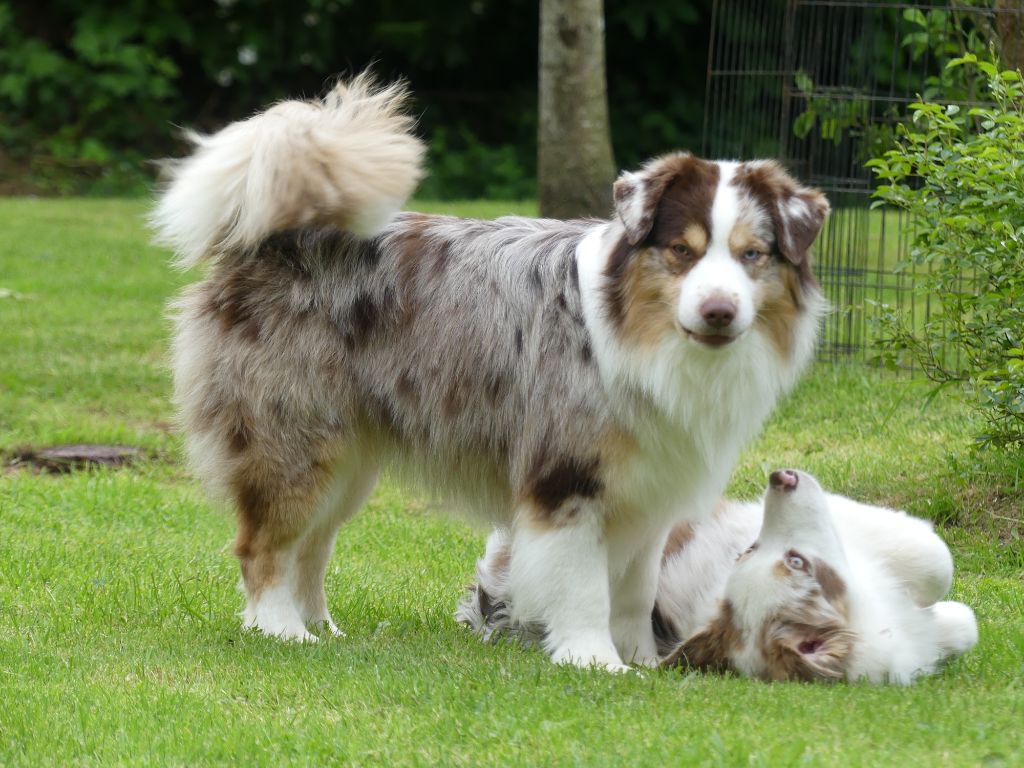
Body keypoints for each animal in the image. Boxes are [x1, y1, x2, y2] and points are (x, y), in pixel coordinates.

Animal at [151, 75, 827, 671]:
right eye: (682, 251)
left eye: (752, 255)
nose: (718, 311)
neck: (636, 333)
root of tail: (275, 239)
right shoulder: (566, 478)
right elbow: (586, 587)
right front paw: (594, 662)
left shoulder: (651, 489)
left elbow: (635, 593)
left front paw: (643, 662)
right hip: (294, 442)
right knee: (263, 545)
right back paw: (280, 630)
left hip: (347, 461)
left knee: (311, 547)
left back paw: (322, 629)